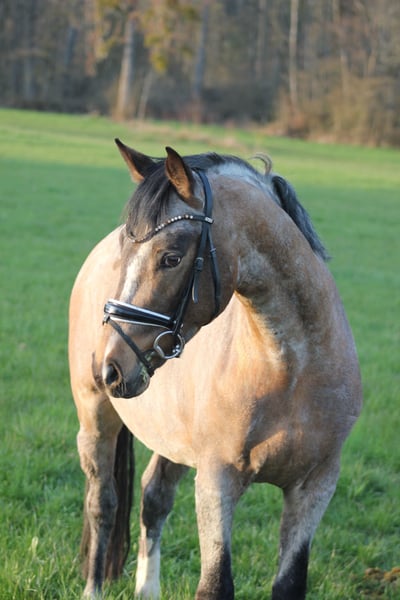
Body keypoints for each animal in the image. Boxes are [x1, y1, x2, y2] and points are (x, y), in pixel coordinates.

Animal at [68, 140, 362, 599]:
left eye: (171, 257)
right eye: (125, 252)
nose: (110, 367)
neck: (292, 370)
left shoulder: (315, 485)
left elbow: (290, 583)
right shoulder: (216, 481)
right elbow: (215, 584)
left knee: (153, 498)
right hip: (95, 419)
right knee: (103, 504)